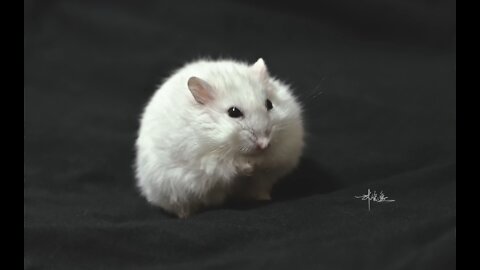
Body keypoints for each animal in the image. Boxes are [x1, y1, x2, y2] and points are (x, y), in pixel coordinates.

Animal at [135, 57, 304, 217]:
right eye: (233, 112)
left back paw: (264, 198)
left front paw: (260, 162)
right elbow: (229, 165)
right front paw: (249, 166)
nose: (264, 144)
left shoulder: (285, 149)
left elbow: (271, 161)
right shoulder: (208, 161)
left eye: (269, 104)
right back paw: (185, 214)